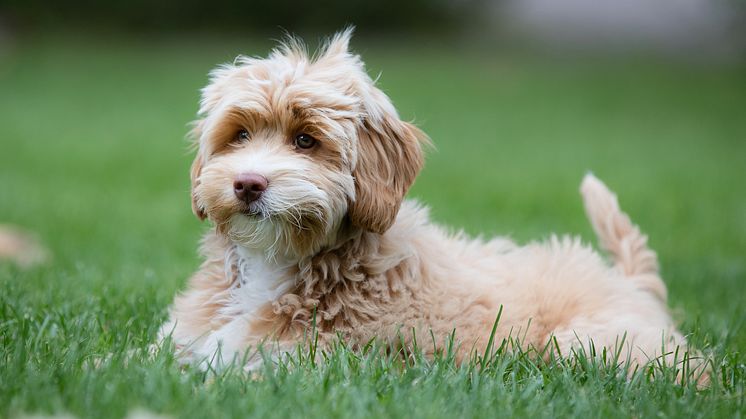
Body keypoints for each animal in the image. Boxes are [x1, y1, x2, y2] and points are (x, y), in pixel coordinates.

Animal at [158, 29, 704, 378]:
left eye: (306, 141)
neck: (283, 262)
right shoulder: (181, 342)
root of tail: (629, 282)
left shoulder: (309, 361)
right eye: (239, 135)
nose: (247, 184)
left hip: (592, 345)